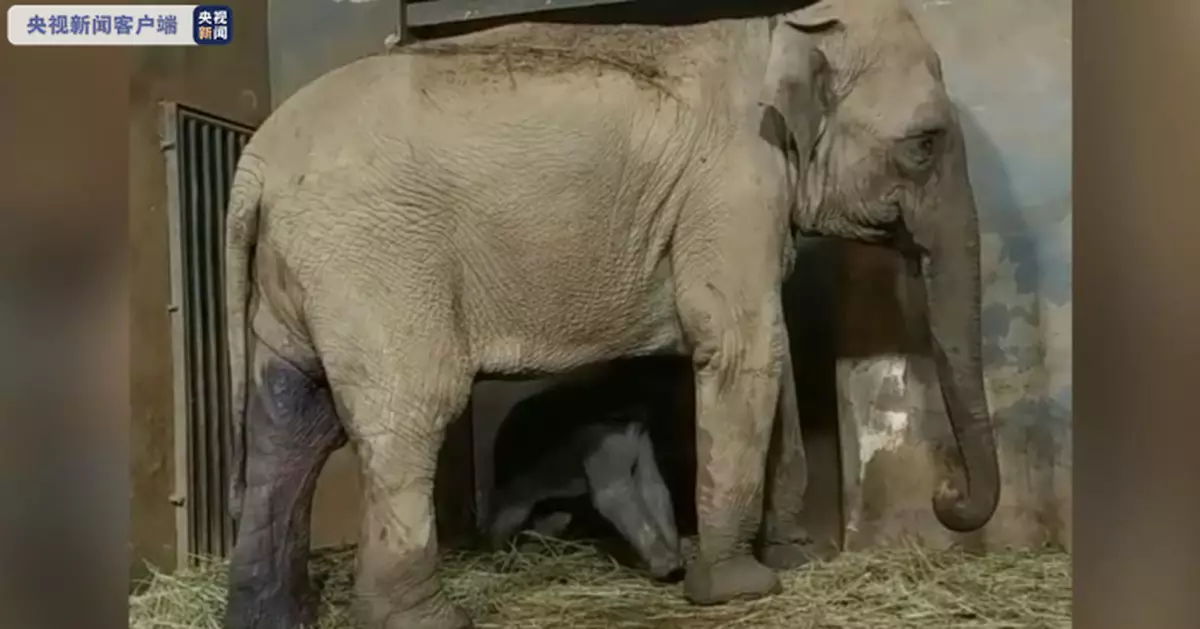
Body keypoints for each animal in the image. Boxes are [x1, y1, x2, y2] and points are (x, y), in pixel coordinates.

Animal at [485, 355, 690, 582]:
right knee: (507, 516)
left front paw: (678, 562)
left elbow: (653, 486)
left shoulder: (639, 439)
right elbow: (611, 496)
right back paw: (501, 561)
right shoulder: (602, 445)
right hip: (514, 482)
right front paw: (668, 567)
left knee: (553, 519)